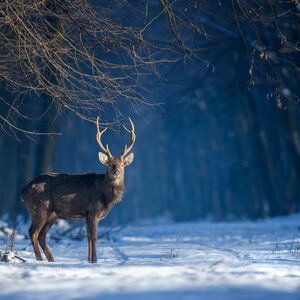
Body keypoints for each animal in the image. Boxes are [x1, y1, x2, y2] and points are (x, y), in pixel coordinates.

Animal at [22, 117, 136, 262]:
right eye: (110, 164)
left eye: (122, 164)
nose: (117, 173)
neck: (105, 196)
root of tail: (23, 191)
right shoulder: (93, 211)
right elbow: (93, 237)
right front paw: (94, 260)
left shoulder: (88, 215)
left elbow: (88, 237)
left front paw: (89, 260)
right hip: (39, 208)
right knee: (32, 232)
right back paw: (40, 260)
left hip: (51, 214)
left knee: (41, 235)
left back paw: (51, 260)